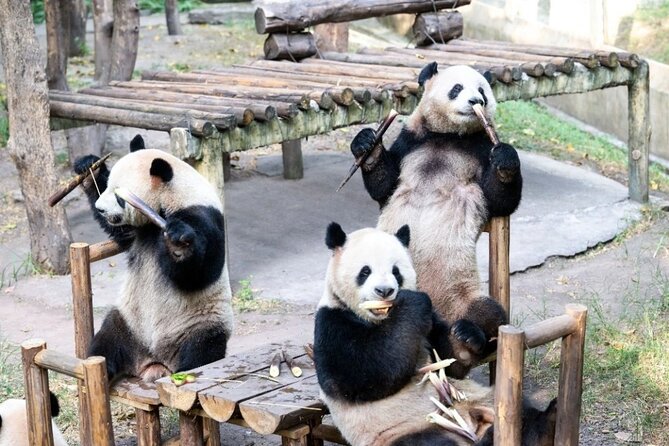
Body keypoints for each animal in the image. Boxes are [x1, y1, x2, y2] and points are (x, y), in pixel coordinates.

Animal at [74, 135, 233, 383]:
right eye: (108, 186)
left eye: (120, 198)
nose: (100, 209)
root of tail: (154, 362)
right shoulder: (137, 230)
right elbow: (119, 232)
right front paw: (89, 168)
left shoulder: (204, 216)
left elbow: (201, 272)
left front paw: (177, 244)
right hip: (128, 323)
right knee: (106, 342)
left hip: (201, 323)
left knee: (201, 351)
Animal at [314, 223, 556, 446]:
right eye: (365, 271)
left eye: (395, 271)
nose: (385, 291)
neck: (381, 318)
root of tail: (472, 424)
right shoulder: (332, 323)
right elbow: (362, 376)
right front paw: (411, 304)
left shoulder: (432, 322)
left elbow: (451, 365)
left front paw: (467, 335)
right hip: (407, 429)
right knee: (429, 442)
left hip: (484, 398)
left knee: (521, 409)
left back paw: (545, 424)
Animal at [350, 63, 522, 377]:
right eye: (457, 88)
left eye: (482, 90)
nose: (476, 102)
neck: (451, 136)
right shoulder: (411, 141)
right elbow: (385, 184)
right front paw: (366, 142)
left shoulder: (481, 148)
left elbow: (500, 199)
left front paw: (506, 159)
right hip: (371, 297)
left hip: (463, 293)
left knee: (490, 314)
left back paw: (470, 337)